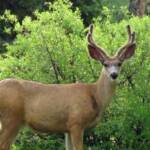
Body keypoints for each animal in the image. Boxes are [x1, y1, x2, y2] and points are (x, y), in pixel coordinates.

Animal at [0, 24, 136, 149]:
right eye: (105, 64)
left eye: (119, 63)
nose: (114, 75)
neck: (95, 95)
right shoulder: (76, 122)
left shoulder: (67, 128)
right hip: (11, 118)